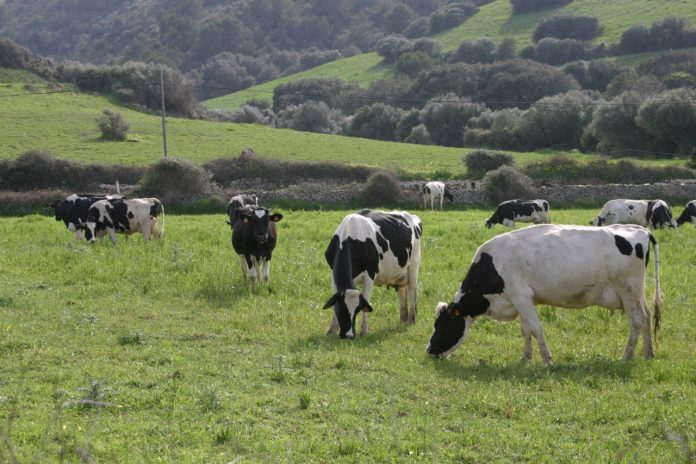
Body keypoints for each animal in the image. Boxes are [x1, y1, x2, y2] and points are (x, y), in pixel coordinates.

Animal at [322, 209, 424, 338]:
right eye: (341, 309)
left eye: (358, 309)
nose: (349, 335)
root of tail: (411, 215)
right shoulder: (333, 275)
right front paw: (332, 330)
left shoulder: (370, 275)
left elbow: (366, 300)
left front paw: (364, 331)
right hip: (398, 275)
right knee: (402, 293)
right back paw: (402, 320)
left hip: (414, 265)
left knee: (413, 291)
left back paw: (411, 320)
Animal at [426, 223, 660, 364]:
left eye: (442, 326)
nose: (429, 351)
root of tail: (640, 229)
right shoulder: (520, 301)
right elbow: (526, 330)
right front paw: (525, 357)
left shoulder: (521, 296)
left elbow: (536, 329)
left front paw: (547, 360)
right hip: (637, 293)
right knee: (647, 316)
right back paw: (648, 353)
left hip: (628, 291)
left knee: (637, 320)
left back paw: (627, 356)